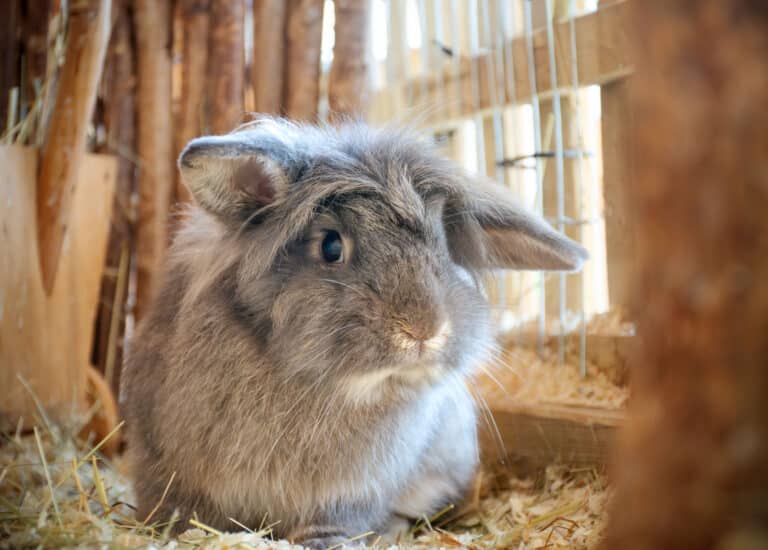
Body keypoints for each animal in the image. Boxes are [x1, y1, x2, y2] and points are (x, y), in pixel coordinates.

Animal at [121, 118, 587, 548]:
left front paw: (325, 541)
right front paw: (174, 533)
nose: (424, 329)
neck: (323, 388)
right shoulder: (167, 466)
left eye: (442, 246)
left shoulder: (349, 492)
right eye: (331, 245)